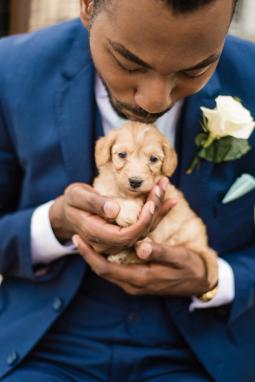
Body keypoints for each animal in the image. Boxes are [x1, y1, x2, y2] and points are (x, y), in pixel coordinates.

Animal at [93, 122, 217, 284]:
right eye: (122, 155)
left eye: (153, 159)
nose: (135, 182)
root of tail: (202, 244)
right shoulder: (102, 187)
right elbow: (110, 193)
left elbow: (136, 198)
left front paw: (128, 212)